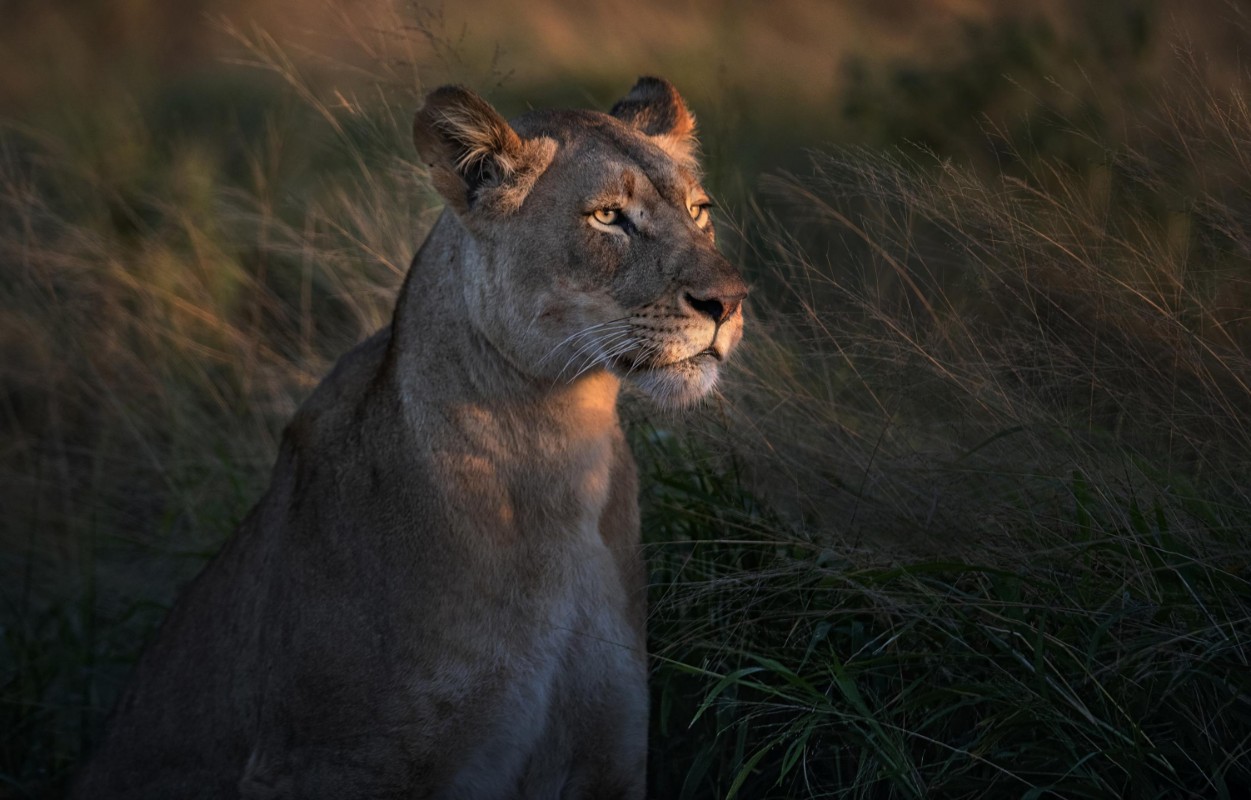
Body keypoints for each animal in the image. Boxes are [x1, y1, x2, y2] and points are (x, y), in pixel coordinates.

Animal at [71, 76, 747, 799]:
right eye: (608, 217)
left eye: (699, 210)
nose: (730, 301)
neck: (561, 444)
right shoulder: (331, 764)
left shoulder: (610, 754)